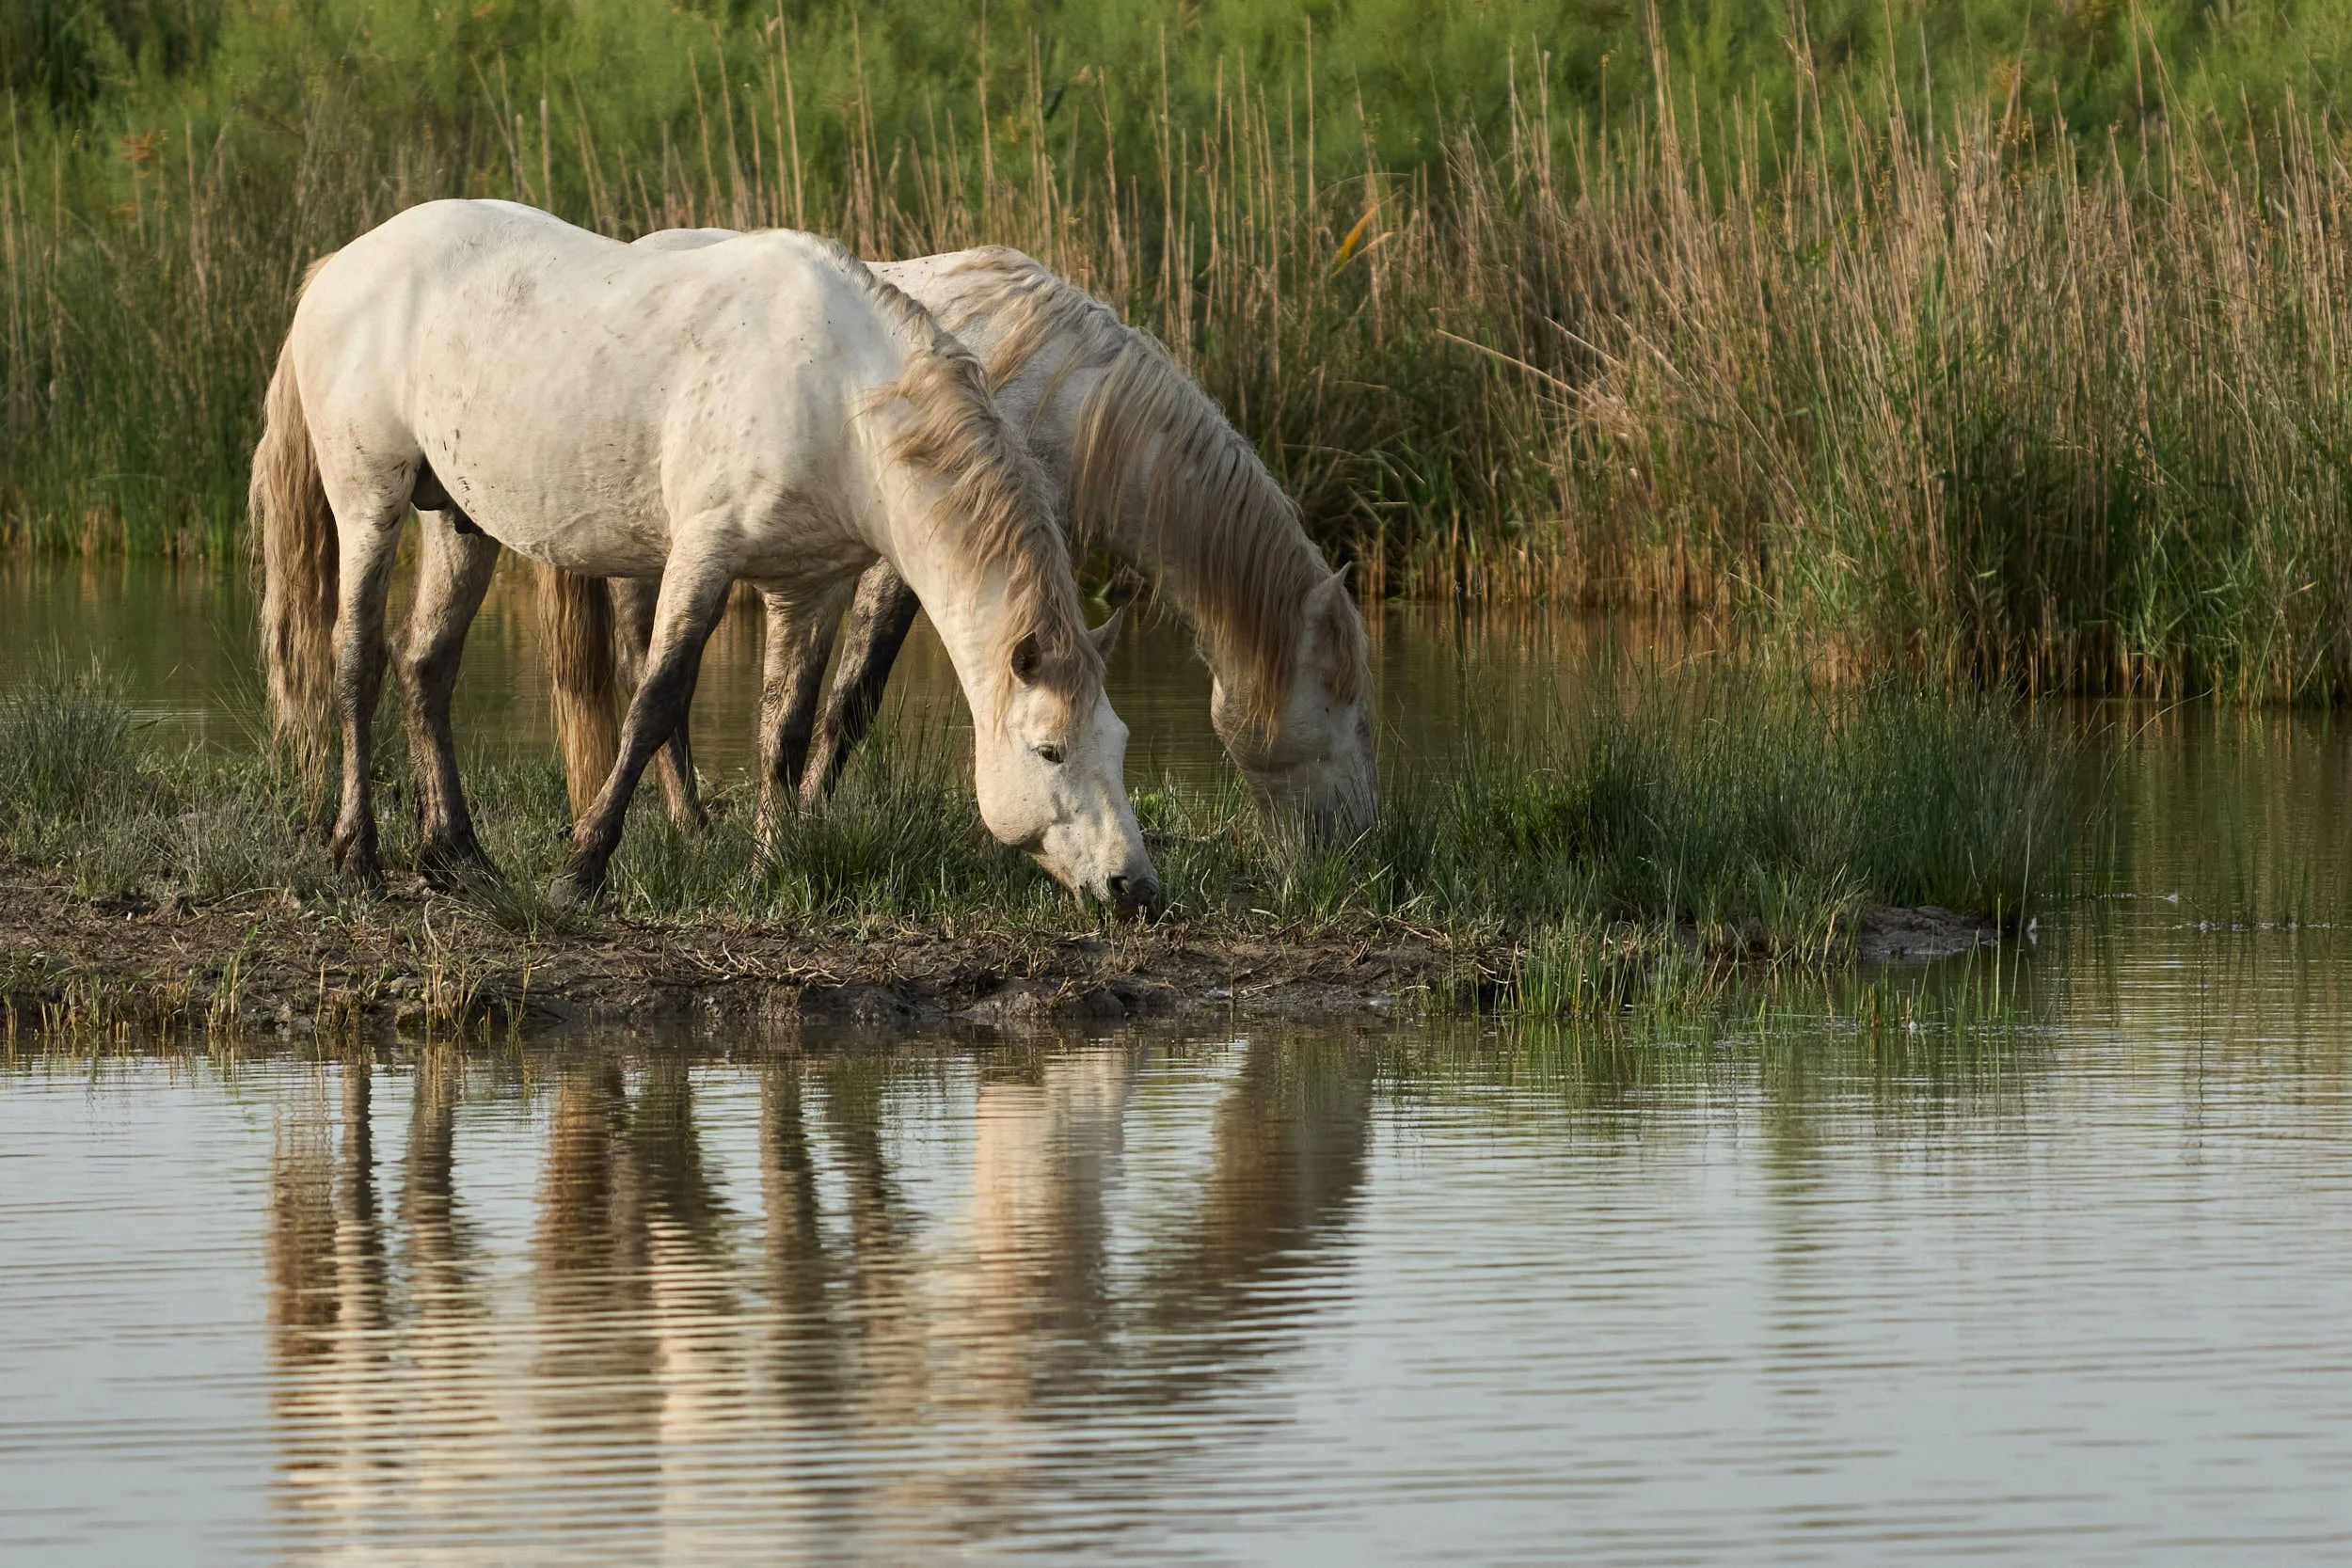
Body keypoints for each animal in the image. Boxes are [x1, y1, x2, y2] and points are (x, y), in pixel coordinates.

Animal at [250, 200, 1159, 911]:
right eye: (1049, 750)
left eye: (1117, 743)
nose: (1135, 886)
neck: (838, 395)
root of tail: (339, 266)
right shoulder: (704, 555)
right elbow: (657, 699)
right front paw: (582, 870)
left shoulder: (811, 586)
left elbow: (785, 725)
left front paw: (771, 864)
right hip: (369, 500)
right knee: (357, 658)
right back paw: (360, 857)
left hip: (459, 520)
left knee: (426, 664)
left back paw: (459, 859)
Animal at [534, 241, 1376, 844]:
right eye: (1348, 707)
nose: (1364, 844)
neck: (1063, 390)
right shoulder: (908, 563)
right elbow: (854, 696)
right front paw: (807, 814)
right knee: (647, 670)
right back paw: (689, 823)